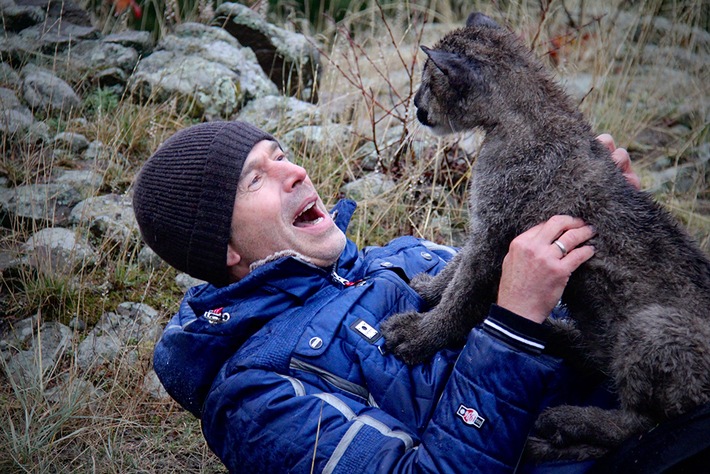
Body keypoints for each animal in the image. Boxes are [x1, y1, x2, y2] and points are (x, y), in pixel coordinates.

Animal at [384, 12, 710, 462]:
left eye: (429, 82)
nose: (417, 107)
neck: (519, 118)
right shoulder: (490, 224)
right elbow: (457, 267)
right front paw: (431, 287)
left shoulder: (497, 233)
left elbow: (463, 293)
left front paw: (420, 334)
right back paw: (554, 337)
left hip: (653, 327)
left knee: (640, 423)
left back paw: (564, 420)